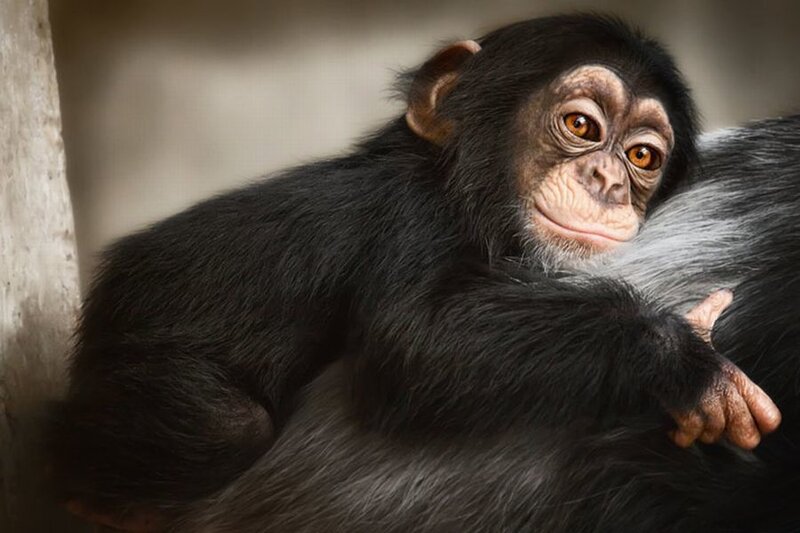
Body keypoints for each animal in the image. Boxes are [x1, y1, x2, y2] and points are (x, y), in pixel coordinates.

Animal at [48, 14, 784, 531]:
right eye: (580, 124)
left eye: (642, 156)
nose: (606, 179)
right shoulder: (415, 220)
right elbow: (418, 335)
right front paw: (688, 360)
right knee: (227, 425)